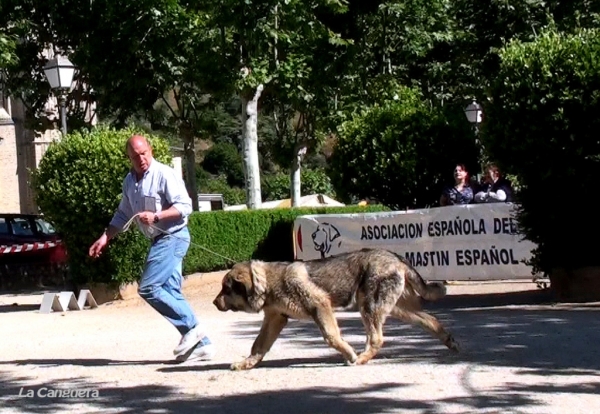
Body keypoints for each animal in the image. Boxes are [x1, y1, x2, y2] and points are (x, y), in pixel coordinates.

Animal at [212, 247, 460, 370]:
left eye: (226, 289)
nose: (214, 303)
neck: (268, 282)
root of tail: (396, 257)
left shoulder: (320, 305)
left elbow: (331, 336)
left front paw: (349, 352)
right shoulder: (275, 319)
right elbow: (258, 346)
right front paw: (247, 363)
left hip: (369, 306)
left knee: (377, 338)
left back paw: (361, 358)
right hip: (394, 308)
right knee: (429, 319)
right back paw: (448, 340)